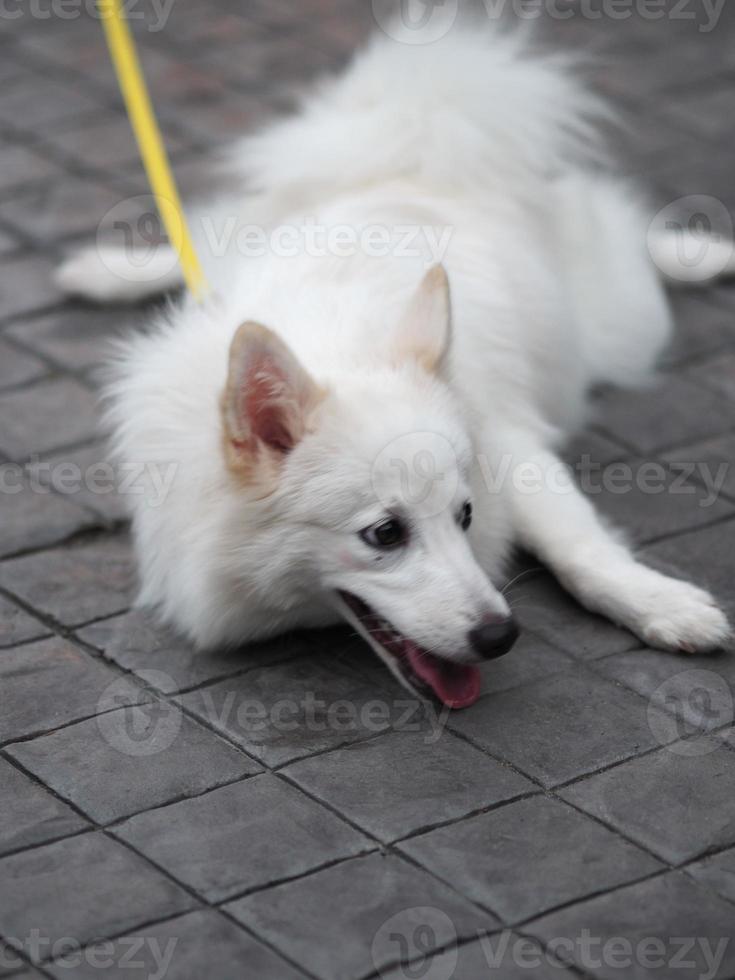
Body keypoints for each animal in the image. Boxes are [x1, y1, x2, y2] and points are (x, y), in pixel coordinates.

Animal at [60, 28, 732, 704]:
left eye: (465, 515)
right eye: (385, 534)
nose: (501, 636)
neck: (333, 348)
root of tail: (410, 160)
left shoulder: (512, 442)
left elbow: (579, 546)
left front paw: (661, 603)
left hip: (619, 314)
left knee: (634, 236)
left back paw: (700, 252)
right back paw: (103, 271)